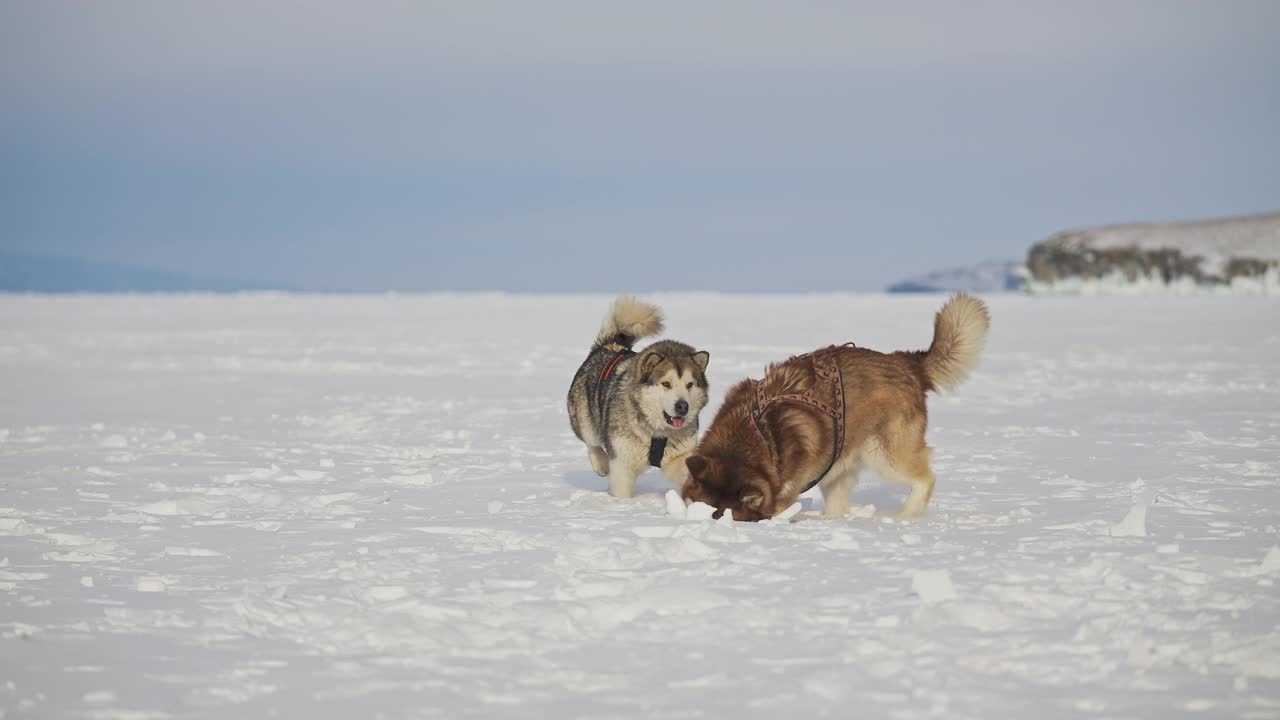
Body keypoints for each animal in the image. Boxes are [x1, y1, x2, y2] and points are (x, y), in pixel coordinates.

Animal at [568, 295, 711, 491]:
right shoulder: (622, 462)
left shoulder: (678, 455)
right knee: (592, 443)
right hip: (584, 418)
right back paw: (601, 464)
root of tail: (608, 346)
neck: (657, 433)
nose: (683, 406)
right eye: (666, 384)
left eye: (689, 385)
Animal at [680, 294, 988, 517]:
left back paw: (905, 516)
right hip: (838, 463)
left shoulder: (785, 489)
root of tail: (906, 362)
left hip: (883, 453)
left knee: (925, 478)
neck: (757, 432)